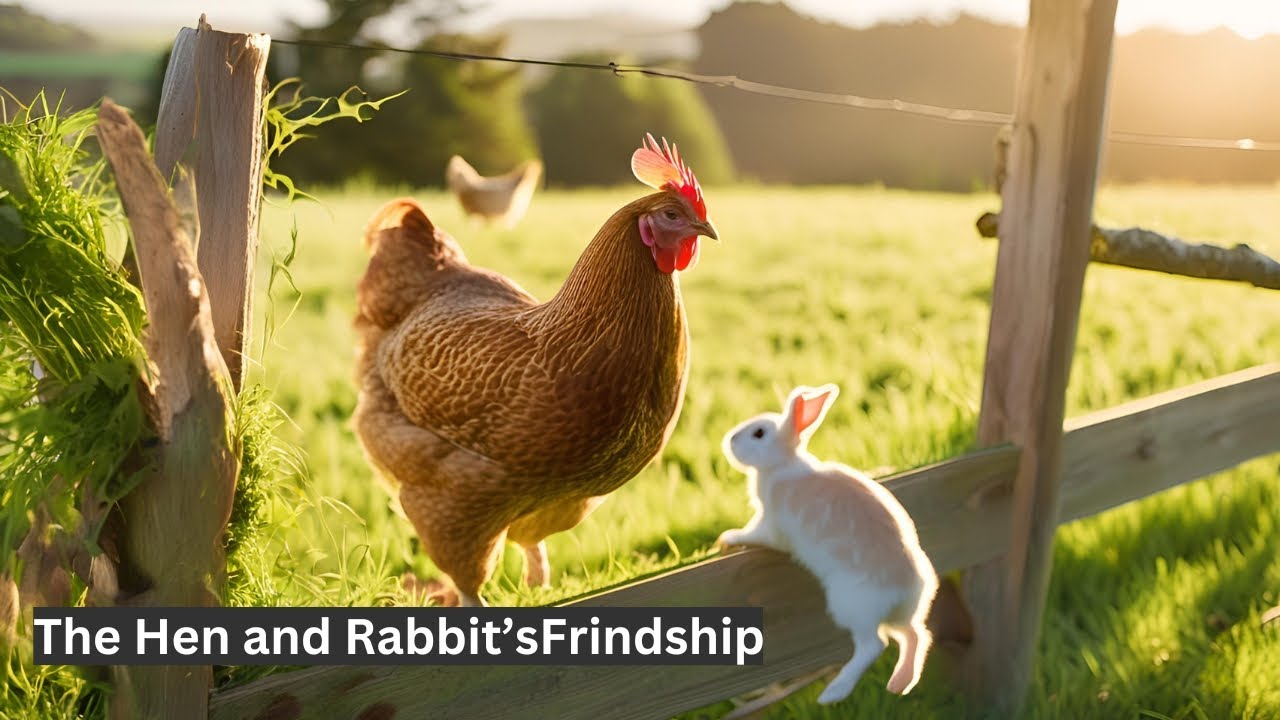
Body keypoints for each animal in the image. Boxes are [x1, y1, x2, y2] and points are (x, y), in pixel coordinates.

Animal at [716, 383, 939, 705]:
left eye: (759, 433)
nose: (730, 440)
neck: (783, 464)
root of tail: (907, 588)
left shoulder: (769, 525)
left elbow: (754, 534)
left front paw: (727, 539)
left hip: (851, 606)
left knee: (874, 645)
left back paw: (833, 693)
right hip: (903, 616)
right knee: (917, 635)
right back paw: (900, 683)